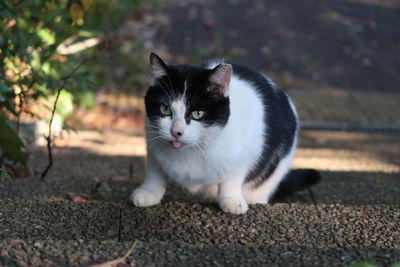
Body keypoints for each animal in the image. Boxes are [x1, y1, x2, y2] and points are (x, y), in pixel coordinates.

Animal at [130, 52, 320, 216]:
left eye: (198, 113)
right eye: (165, 109)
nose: (176, 131)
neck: (194, 149)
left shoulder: (247, 150)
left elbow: (233, 177)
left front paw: (231, 200)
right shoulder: (151, 140)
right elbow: (155, 171)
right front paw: (149, 192)